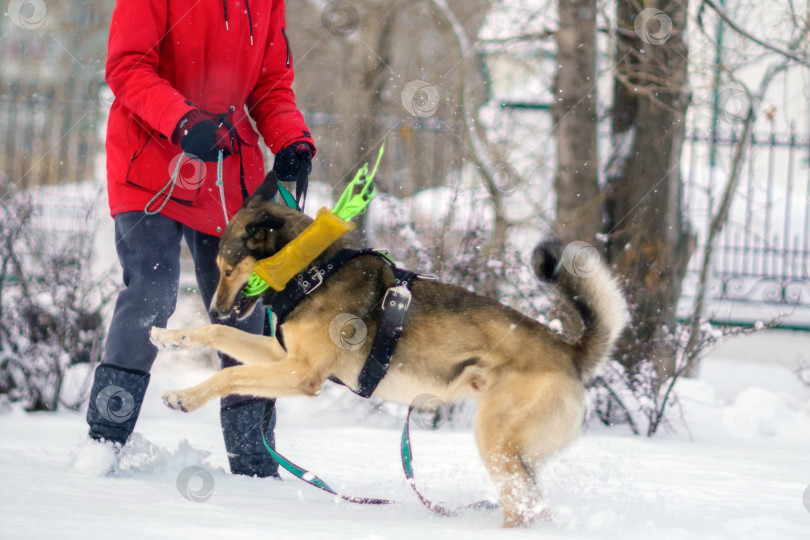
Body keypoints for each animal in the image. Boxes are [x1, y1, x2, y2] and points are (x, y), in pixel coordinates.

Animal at [153, 173, 632, 528]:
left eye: (228, 270)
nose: (217, 305)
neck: (312, 271)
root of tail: (571, 352)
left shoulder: (301, 373)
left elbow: (229, 374)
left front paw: (183, 397)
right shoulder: (282, 355)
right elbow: (218, 336)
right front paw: (170, 337)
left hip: (496, 440)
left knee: (523, 507)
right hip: (514, 453)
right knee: (533, 504)